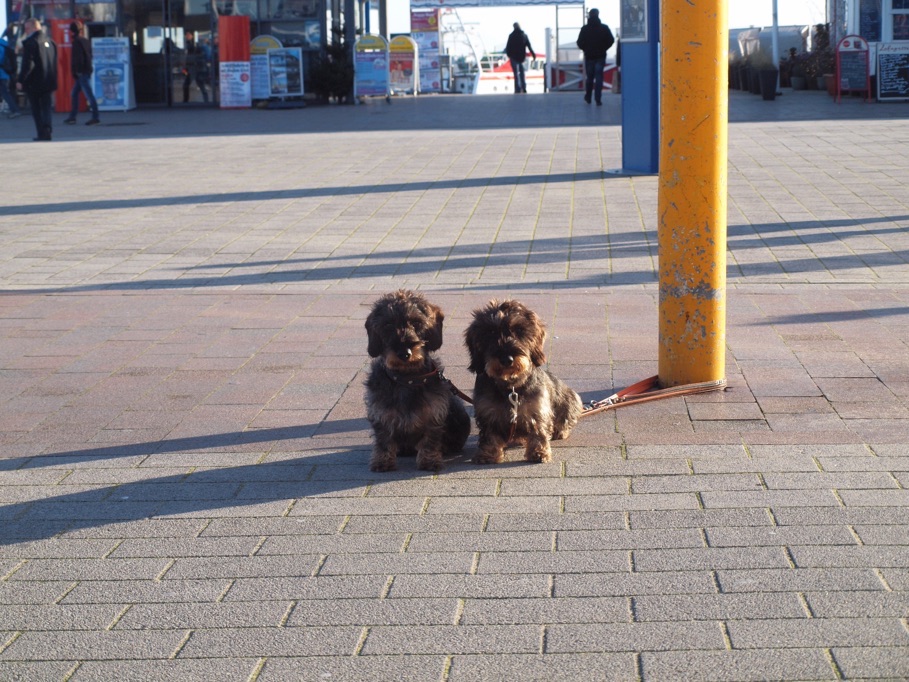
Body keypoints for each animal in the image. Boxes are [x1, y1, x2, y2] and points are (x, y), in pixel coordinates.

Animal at [364, 290, 472, 470]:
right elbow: (383, 439)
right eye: (388, 325)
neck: (408, 378)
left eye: (416, 322)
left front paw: (429, 461)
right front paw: (382, 461)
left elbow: (430, 439)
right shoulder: (380, 412)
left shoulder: (434, 413)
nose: (404, 353)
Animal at [464, 298, 584, 462]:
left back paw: (559, 431)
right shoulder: (487, 412)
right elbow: (489, 436)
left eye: (519, 330)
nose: (506, 359)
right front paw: (487, 454)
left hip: (571, 399)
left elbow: (538, 431)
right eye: (490, 332)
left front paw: (539, 452)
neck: (511, 387)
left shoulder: (537, 408)